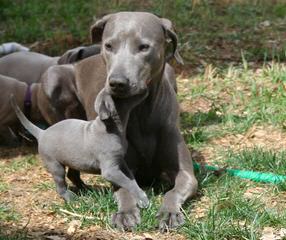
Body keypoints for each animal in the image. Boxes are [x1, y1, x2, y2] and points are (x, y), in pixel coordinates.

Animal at [10, 86, 150, 206]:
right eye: (121, 92)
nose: (145, 87)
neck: (111, 128)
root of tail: (42, 133)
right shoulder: (110, 170)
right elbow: (127, 182)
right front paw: (143, 200)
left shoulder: (121, 163)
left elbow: (131, 180)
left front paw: (140, 194)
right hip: (55, 165)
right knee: (61, 184)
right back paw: (71, 197)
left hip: (74, 160)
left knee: (72, 175)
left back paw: (87, 189)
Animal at [71, 12, 197, 232]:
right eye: (108, 45)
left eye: (144, 47)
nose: (117, 83)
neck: (140, 112)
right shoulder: (118, 167)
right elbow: (124, 189)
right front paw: (126, 213)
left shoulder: (186, 173)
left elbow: (174, 190)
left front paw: (169, 212)